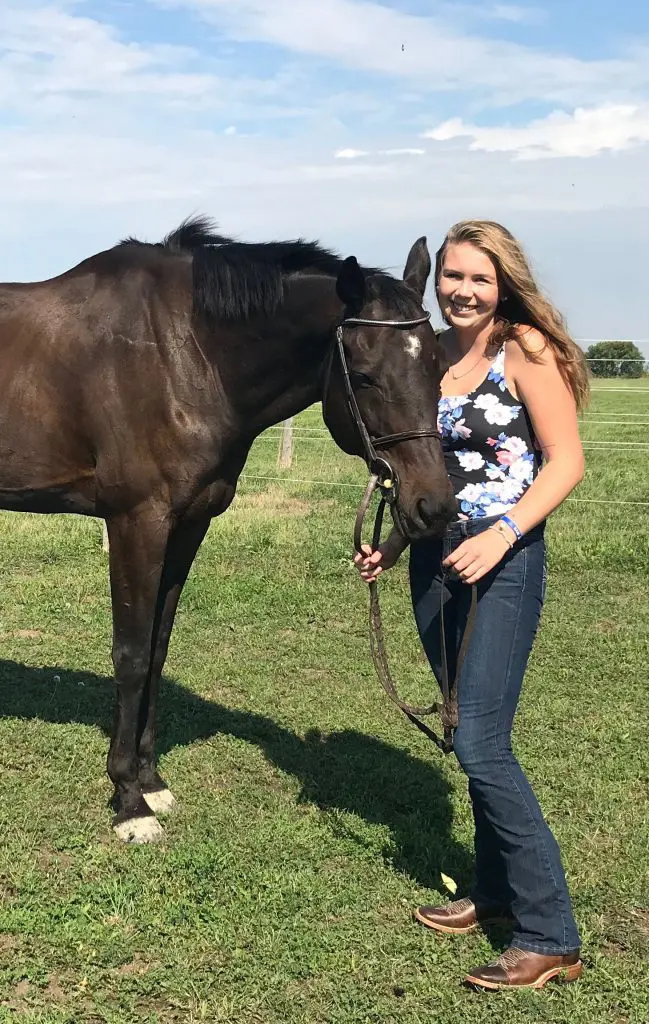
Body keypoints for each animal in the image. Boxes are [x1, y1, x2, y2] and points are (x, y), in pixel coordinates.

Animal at [0, 216, 454, 839]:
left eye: (438, 365)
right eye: (363, 375)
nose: (433, 507)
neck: (185, 354)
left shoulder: (188, 523)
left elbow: (159, 648)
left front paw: (151, 781)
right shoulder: (137, 522)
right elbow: (131, 654)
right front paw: (128, 801)